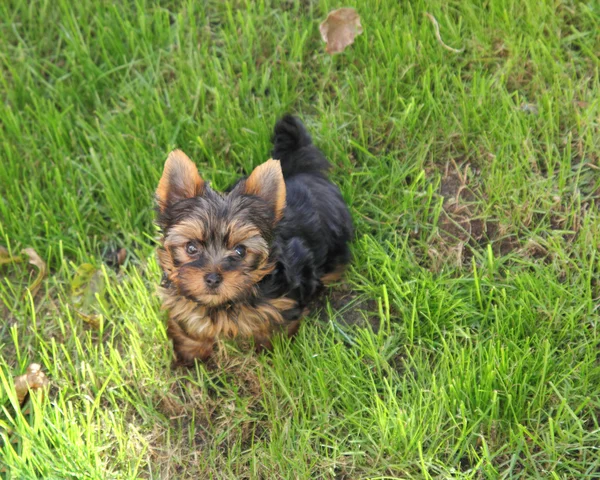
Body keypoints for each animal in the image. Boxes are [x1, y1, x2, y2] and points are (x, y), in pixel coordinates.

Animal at [156, 115, 352, 364]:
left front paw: (271, 355)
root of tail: (303, 171)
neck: (223, 304)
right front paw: (190, 356)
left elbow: (273, 329)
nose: (212, 278)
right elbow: (189, 326)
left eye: (240, 251)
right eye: (191, 248)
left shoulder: (282, 302)